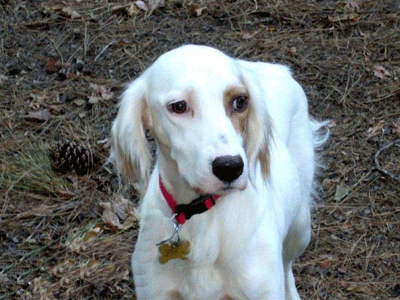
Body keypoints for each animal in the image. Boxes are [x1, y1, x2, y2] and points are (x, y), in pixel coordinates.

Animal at [110, 45, 328, 300]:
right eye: (179, 106)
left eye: (240, 101)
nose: (230, 167)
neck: (202, 215)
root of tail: (276, 67)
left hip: (300, 227)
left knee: (287, 266)